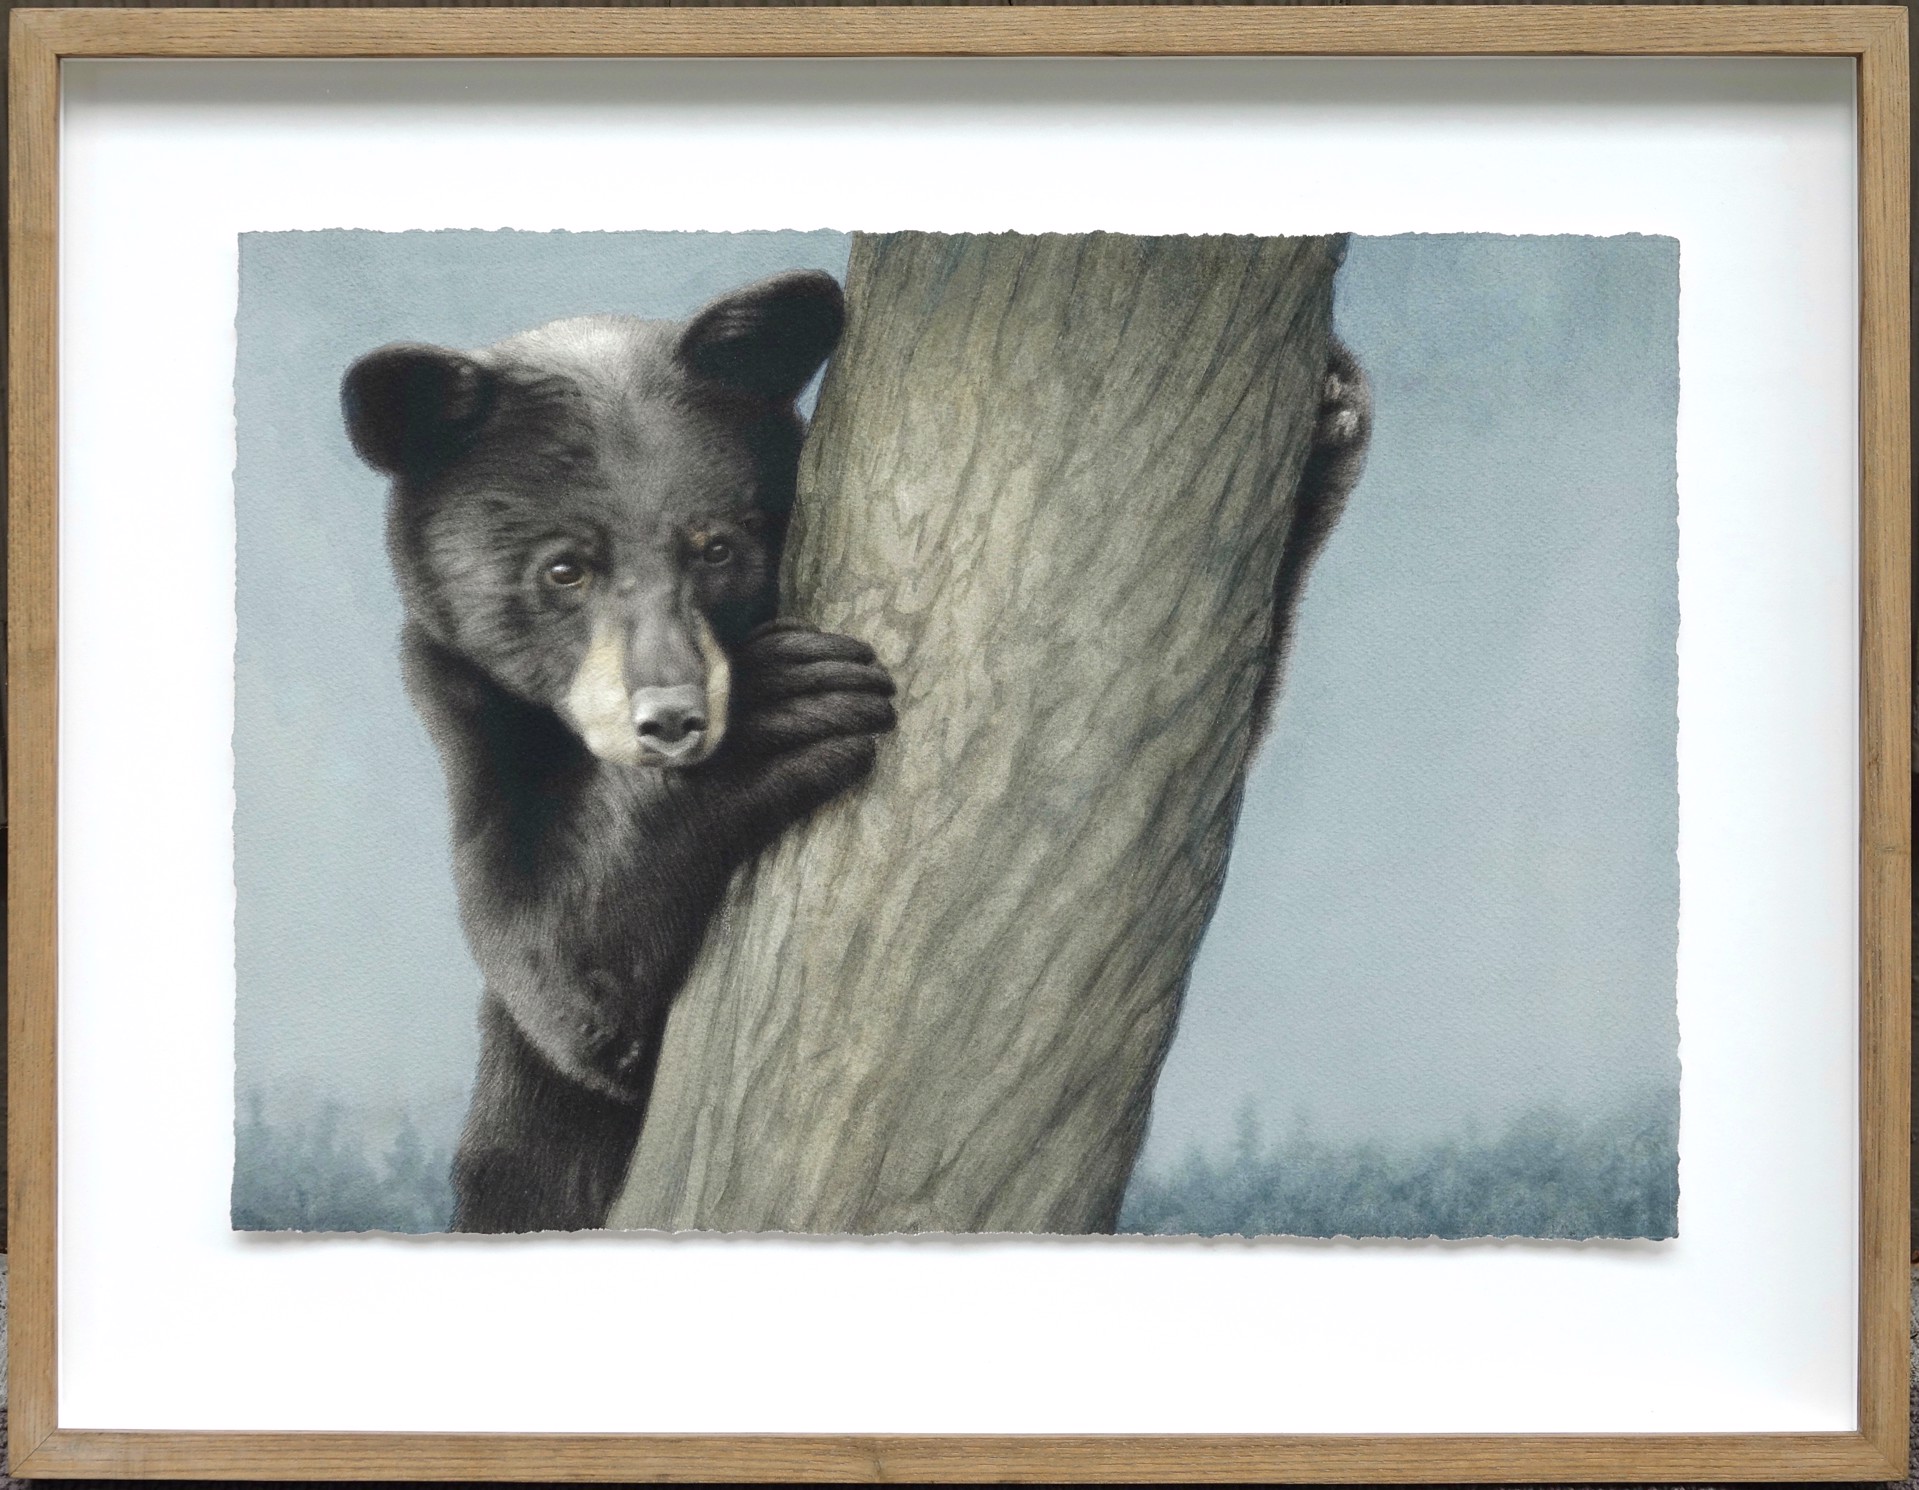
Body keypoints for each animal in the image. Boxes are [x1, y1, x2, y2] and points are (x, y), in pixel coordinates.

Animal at [342, 270, 897, 1232]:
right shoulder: (470, 726)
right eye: (565, 568)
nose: (673, 718)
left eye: (717, 545)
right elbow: (552, 955)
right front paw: (782, 704)